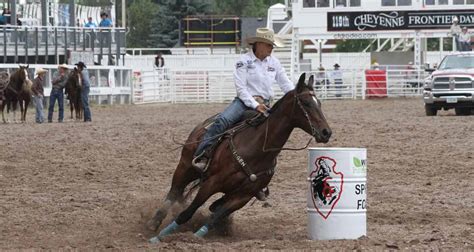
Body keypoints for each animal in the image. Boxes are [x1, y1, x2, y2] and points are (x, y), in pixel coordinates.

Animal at [146, 73, 332, 244]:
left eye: (319, 103)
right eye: (306, 103)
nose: (326, 132)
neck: (257, 149)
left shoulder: (243, 196)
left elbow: (215, 218)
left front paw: (196, 236)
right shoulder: (211, 183)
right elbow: (188, 212)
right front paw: (160, 237)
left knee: (211, 205)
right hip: (185, 167)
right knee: (174, 192)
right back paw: (153, 224)